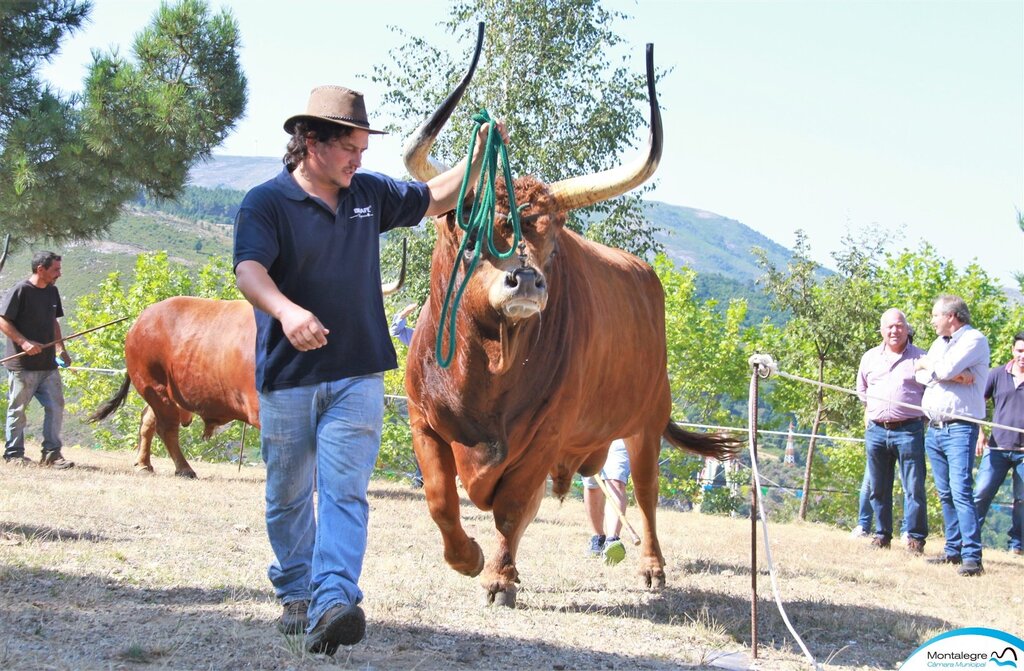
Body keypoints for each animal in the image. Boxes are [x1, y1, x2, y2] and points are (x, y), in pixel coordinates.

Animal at [403, 31, 733, 610]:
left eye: (552, 237)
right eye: (473, 226)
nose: (528, 282)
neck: (487, 365)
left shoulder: (546, 435)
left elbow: (512, 507)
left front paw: (498, 578)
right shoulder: (423, 418)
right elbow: (442, 499)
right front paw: (468, 558)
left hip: (646, 420)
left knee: (646, 492)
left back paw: (652, 568)